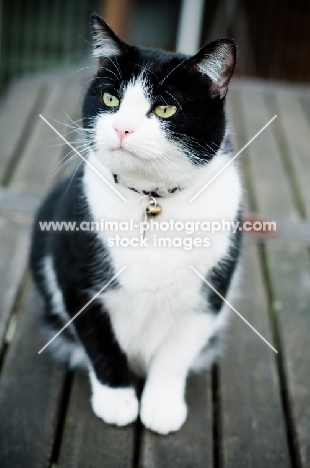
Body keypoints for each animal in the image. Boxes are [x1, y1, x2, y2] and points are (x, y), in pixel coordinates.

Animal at [29, 11, 242, 436]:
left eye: (165, 110)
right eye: (111, 99)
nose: (121, 128)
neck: (151, 200)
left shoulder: (208, 296)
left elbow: (175, 355)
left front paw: (162, 406)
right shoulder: (75, 277)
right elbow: (100, 344)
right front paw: (117, 401)